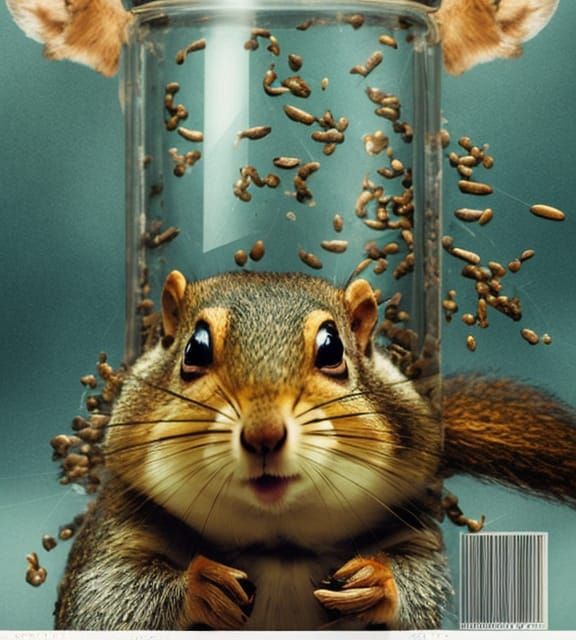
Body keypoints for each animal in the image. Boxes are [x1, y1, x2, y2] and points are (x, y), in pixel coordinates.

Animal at [54, 270, 576, 631]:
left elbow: (421, 580)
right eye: (194, 349)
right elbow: (106, 602)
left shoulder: (412, 523)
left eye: (332, 349)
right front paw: (201, 583)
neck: (280, 546)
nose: (264, 435)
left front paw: (378, 579)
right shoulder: (116, 529)